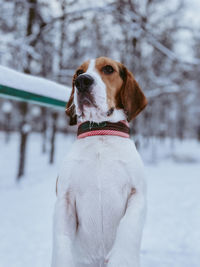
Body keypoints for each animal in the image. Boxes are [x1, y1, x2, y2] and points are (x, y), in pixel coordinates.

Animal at [51, 57, 148, 267]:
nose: (82, 82)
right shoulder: (65, 199)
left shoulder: (138, 194)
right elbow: (61, 240)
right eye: (79, 72)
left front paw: (121, 259)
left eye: (108, 69)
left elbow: (128, 227)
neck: (101, 132)